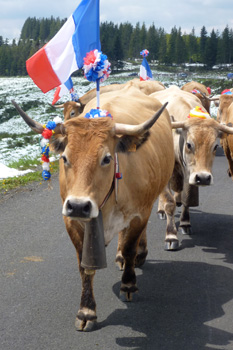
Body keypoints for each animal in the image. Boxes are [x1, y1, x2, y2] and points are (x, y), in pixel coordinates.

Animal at [11, 86, 175, 332]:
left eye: (106, 158)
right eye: (65, 157)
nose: (79, 205)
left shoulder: (140, 212)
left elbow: (130, 246)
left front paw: (128, 285)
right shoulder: (71, 221)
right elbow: (84, 266)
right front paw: (86, 310)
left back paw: (139, 255)